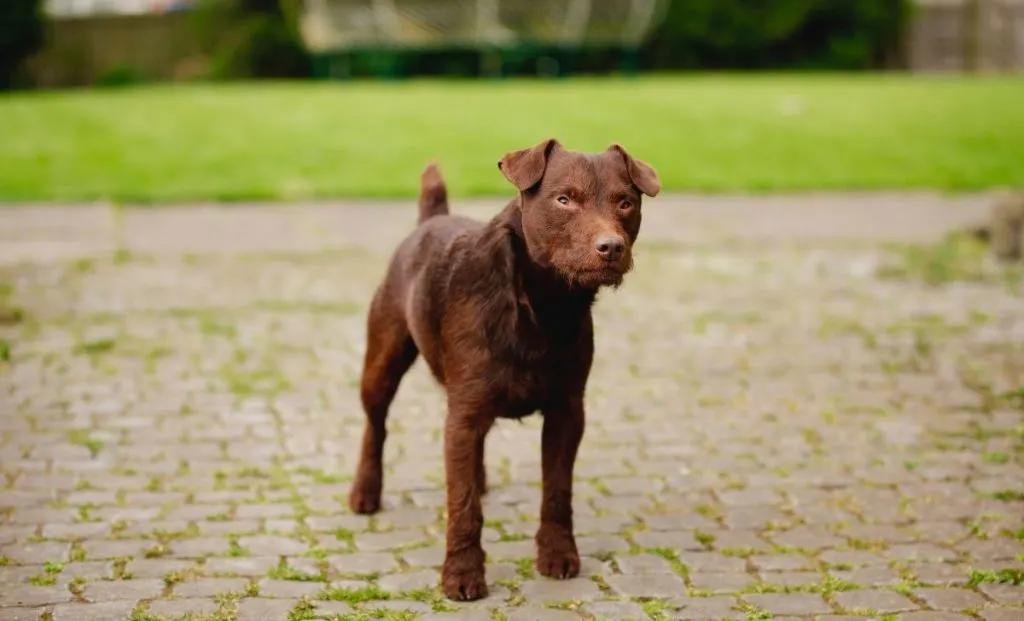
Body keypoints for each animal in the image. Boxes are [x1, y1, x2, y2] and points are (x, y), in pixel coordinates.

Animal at [348, 138, 659, 602]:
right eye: (564, 199)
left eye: (625, 202)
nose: (611, 247)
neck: (541, 304)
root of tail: (431, 220)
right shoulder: (466, 410)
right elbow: (463, 506)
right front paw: (462, 574)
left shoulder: (567, 411)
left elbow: (557, 490)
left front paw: (557, 554)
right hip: (383, 361)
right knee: (376, 423)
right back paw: (365, 491)